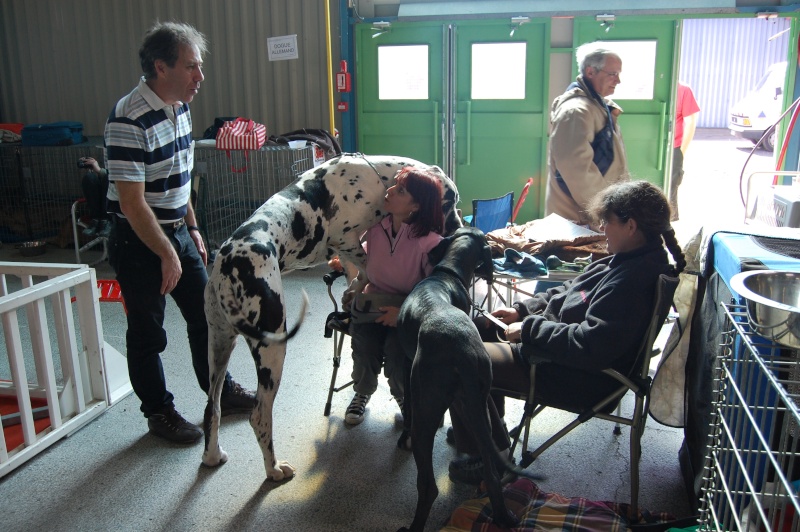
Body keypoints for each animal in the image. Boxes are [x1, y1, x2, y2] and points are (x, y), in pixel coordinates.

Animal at [203, 152, 460, 480]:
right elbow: (367, 268)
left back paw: (212, 455)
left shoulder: (347, 249)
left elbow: (356, 275)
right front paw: (356, 289)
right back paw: (273, 469)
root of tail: (226, 265)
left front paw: (351, 296)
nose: (458, 227)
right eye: (451, 201)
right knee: (259, 415)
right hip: (272, 348)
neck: (376, 178)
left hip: (219, 346)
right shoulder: (346, 240)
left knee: (212, 406)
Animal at [396, 228, 520, 532]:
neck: (447, 273)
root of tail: (461, 351)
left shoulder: (405, 361)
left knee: (428, 486)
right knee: (491, 472)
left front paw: (402, 435)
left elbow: (407, 411)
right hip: (479, 406)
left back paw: (414, 526)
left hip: (428, 412)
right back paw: (503, 516)